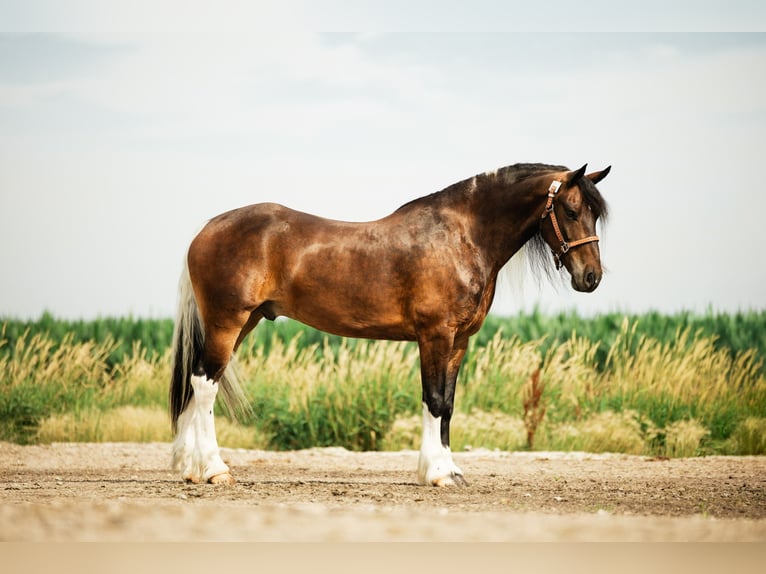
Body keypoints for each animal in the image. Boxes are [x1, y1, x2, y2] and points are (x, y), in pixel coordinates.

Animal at [169, 162, 610, 486]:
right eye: (571, 211)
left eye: (595, 215)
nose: (591, 278)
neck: (462, 236)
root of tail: (205, 231)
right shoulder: (434, 335)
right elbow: (434, 400)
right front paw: (436, 474)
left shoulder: (459, 341)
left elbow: (449, 405)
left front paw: (451, 470)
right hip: (228, 322)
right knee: (205, 385)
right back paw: (214, 470)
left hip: (242, 323)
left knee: (197, 381)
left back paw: (189, 469)